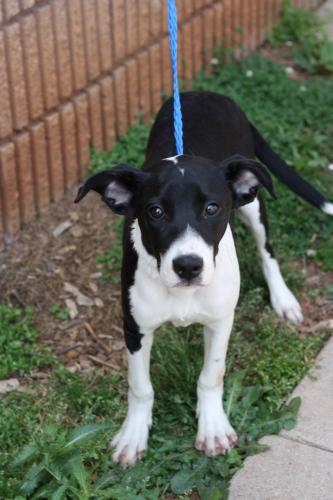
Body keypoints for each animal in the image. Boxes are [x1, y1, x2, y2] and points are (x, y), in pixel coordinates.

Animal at [76, 93, 332, 464]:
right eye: (155, 211)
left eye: (212, 208)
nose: (188, 266)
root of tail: (207, 94)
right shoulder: (135, 327)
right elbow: (140, 386)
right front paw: (133, 435)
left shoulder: (221, 321)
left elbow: (212, 375)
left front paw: (212, 428)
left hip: (253, 204)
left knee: (266, 250)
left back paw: (283, 299)